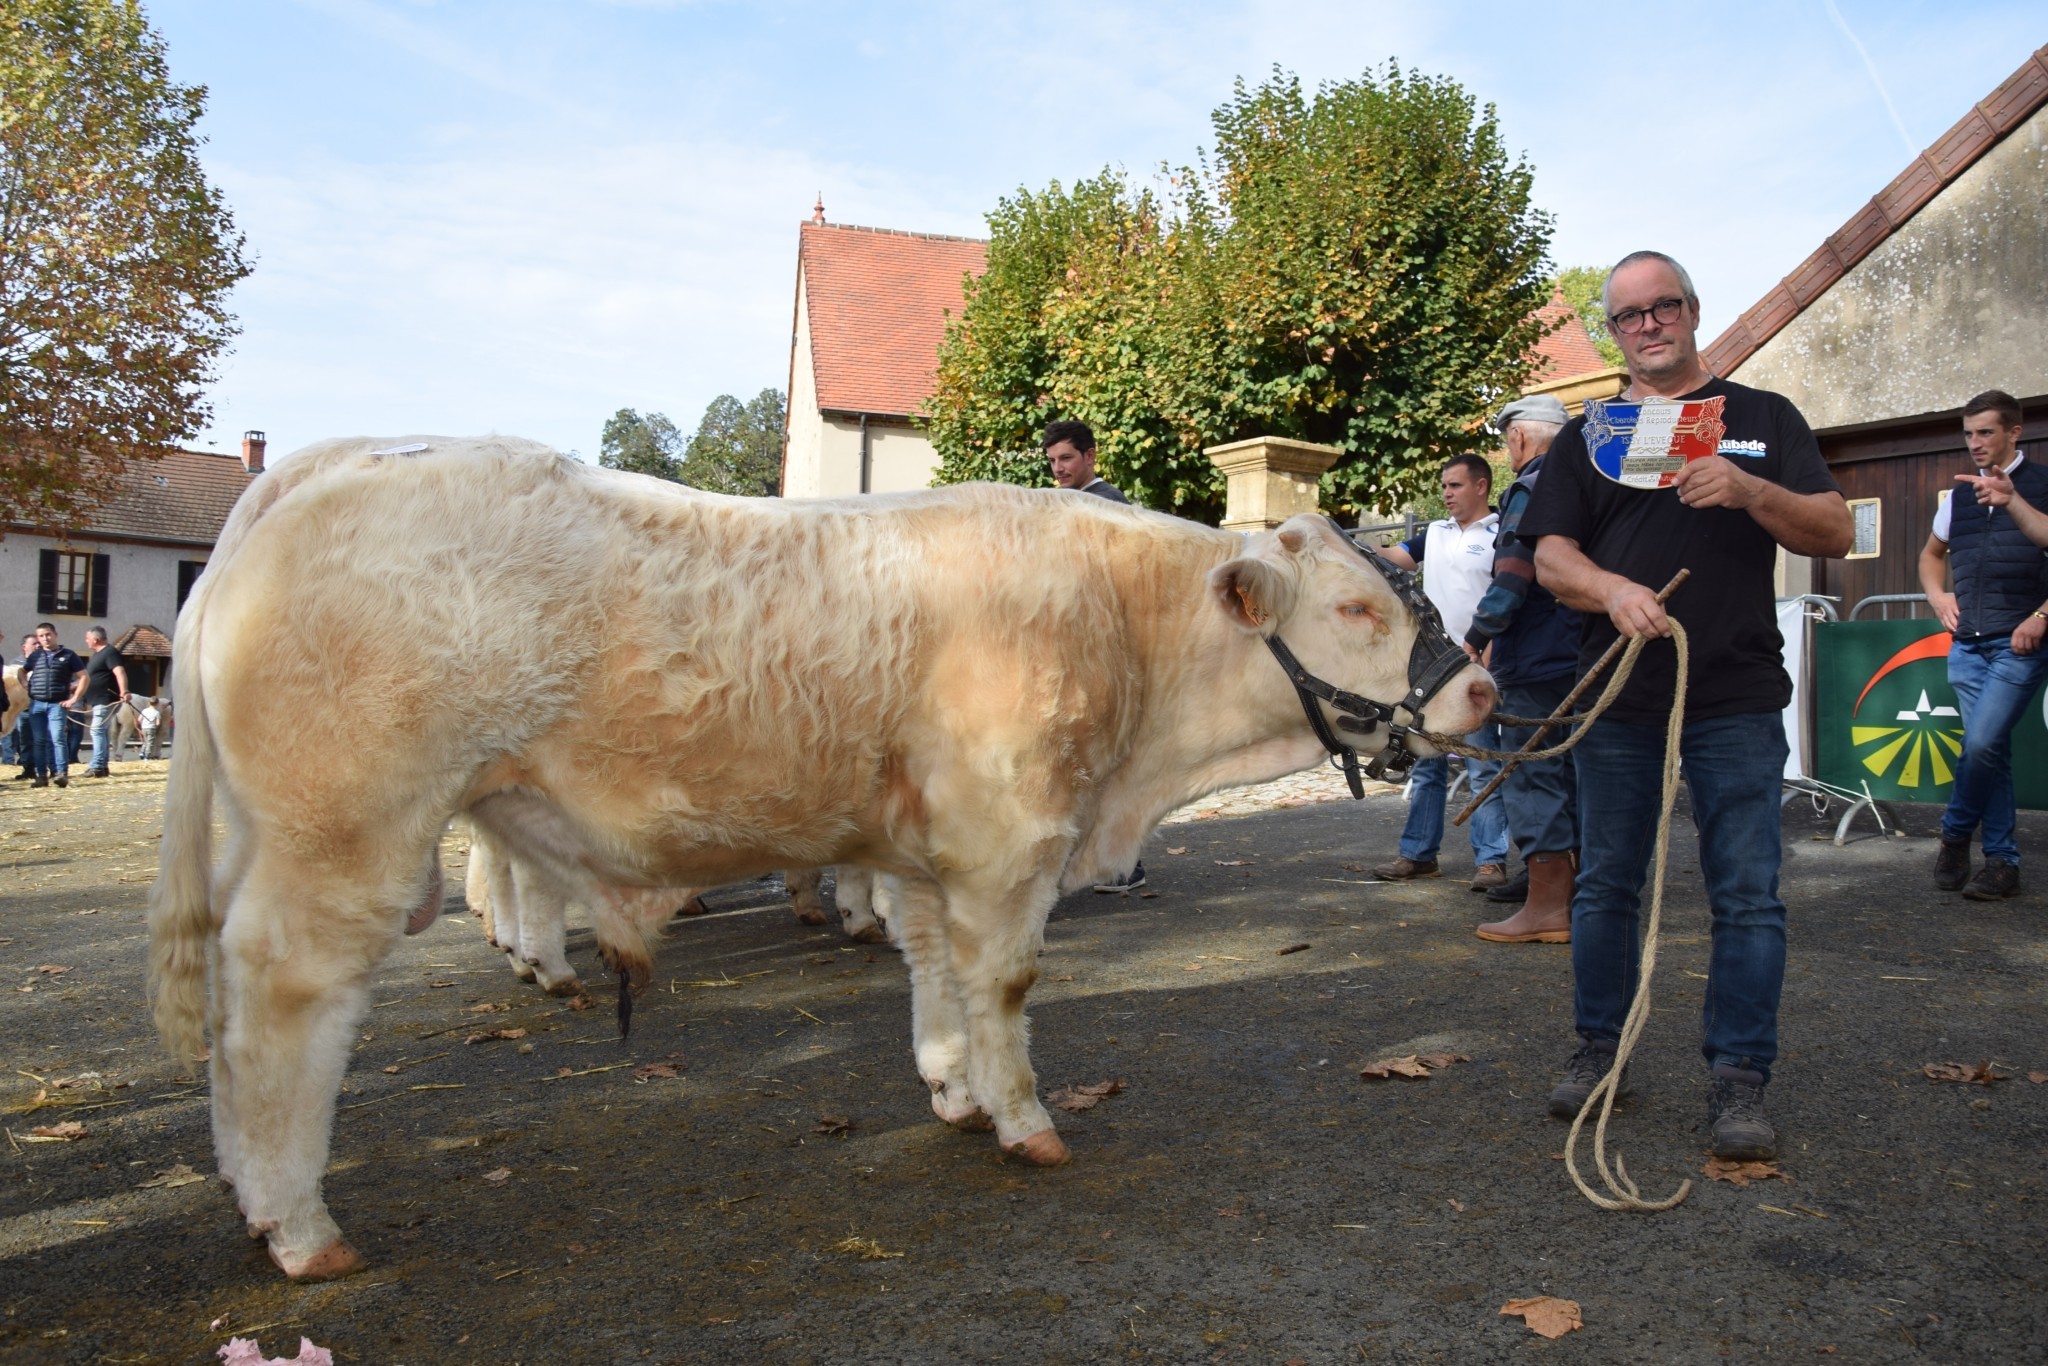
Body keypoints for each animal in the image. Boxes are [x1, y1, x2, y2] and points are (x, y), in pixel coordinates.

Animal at [144, 438, 1490, 1286]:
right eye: (1358, 611)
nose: (1478, 687)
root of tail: (338, 464)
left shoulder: (930, 855)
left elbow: (937, 973)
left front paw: (953, 1091)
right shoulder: (1011, 840)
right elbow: (1004, 983)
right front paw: (1024, 1119)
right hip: (344, 840)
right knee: (283, 1008)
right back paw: (298, 1223)